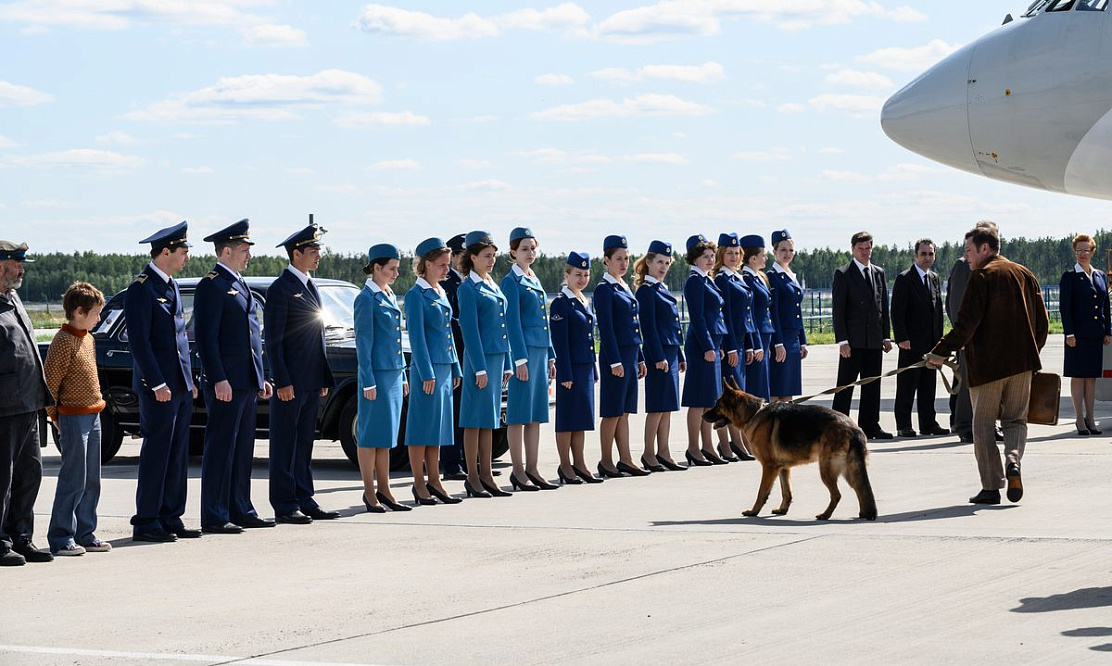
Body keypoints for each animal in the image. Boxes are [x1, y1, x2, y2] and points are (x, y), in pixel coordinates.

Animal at [702, 380, 876, 520]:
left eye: (717, 405)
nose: (703, 415)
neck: (753, 414)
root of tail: (854, 429)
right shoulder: (783, 468)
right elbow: (787, 491)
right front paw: (782, 510)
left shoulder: (769, 467)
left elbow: (762, 492)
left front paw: (754, 511)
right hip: (849, 469)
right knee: (860, 487)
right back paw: (863, 514)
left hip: (827, 469)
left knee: (838, 494)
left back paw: (825, 515)